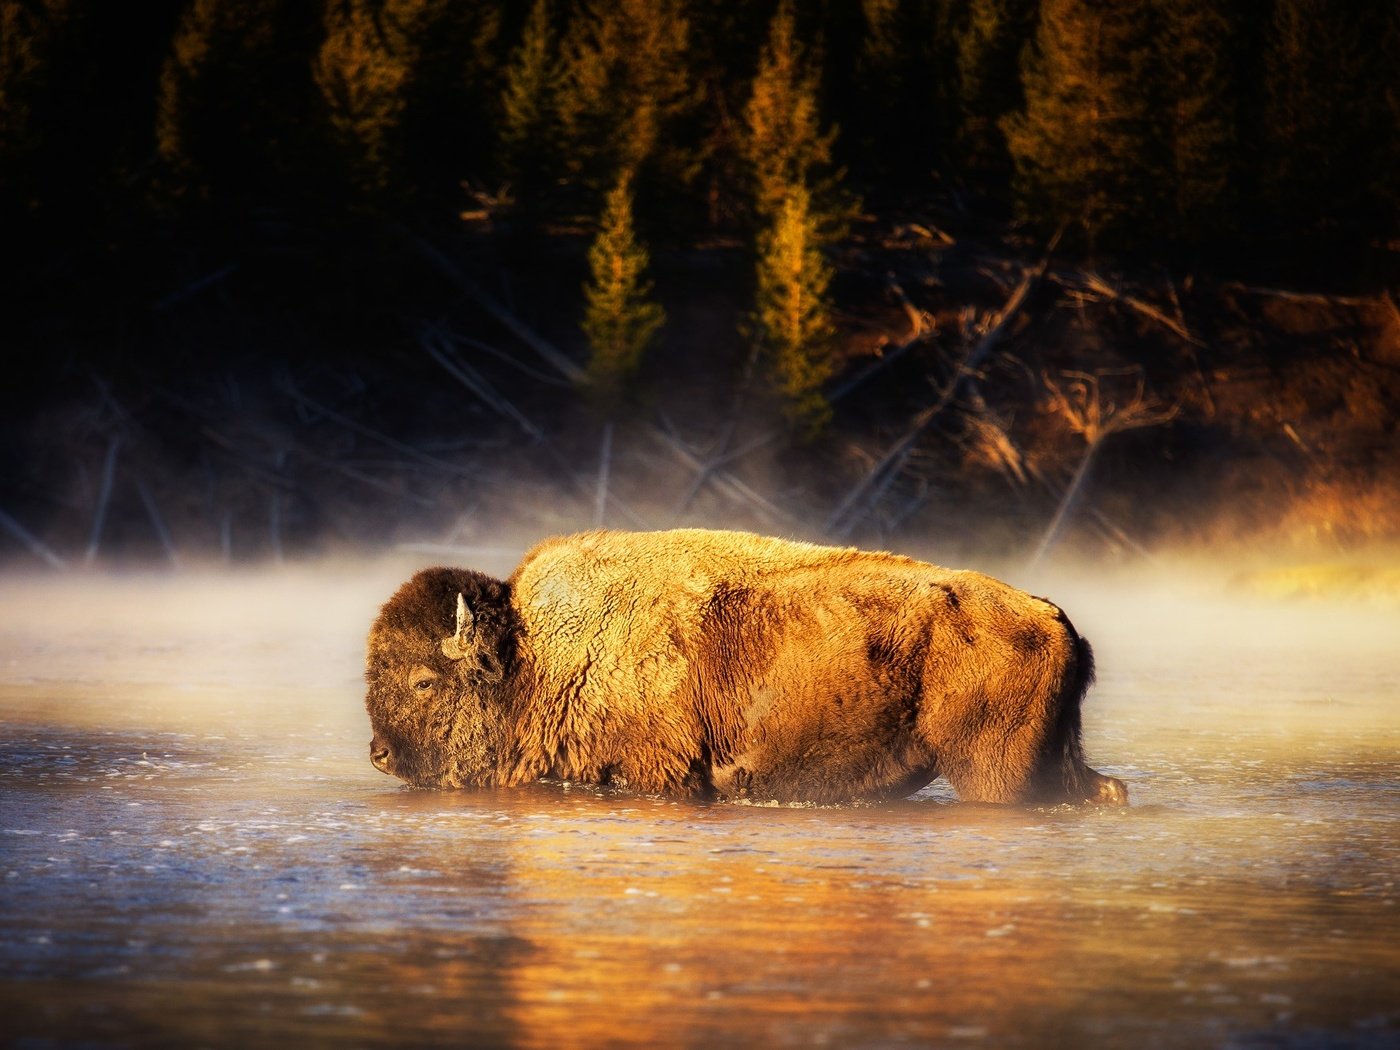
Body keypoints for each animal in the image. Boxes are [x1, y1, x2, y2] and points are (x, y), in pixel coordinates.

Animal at [364, 529, 1125, 812]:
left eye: (424, 682)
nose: (379, 754)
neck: (530, 656)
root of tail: (1052, 618)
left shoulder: (657, 774)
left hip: (994, 774)